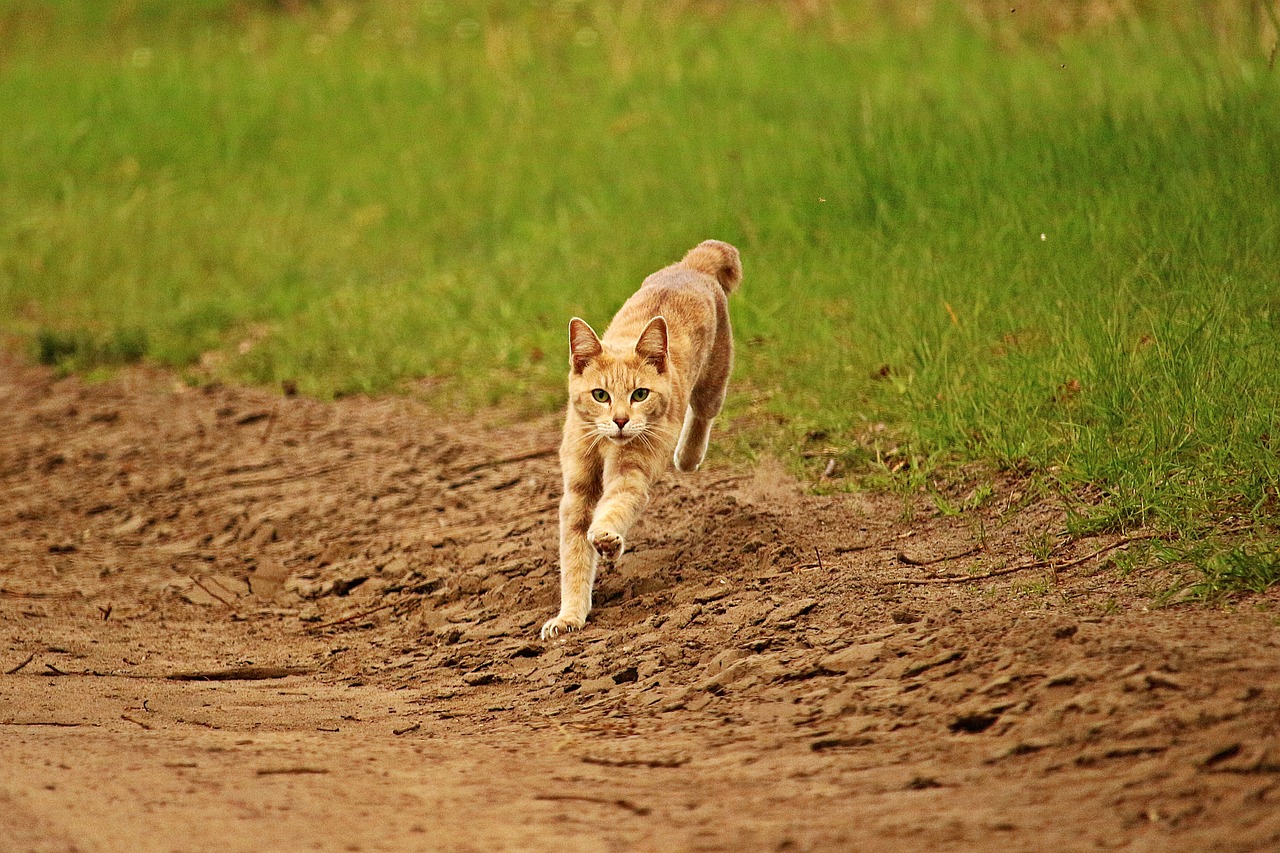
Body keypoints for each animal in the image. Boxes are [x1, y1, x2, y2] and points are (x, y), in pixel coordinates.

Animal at [537, 239, 742, 637]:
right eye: (600, 395)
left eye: (640, 394)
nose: (620, 420)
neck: (605, 444)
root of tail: (694, 264)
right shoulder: (577, 491)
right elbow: (574, 557)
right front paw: (569, 616)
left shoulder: (630, 476)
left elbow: (615, 507)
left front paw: (607, 540)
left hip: (714, 379)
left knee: (702, 414)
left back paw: (687, 456)